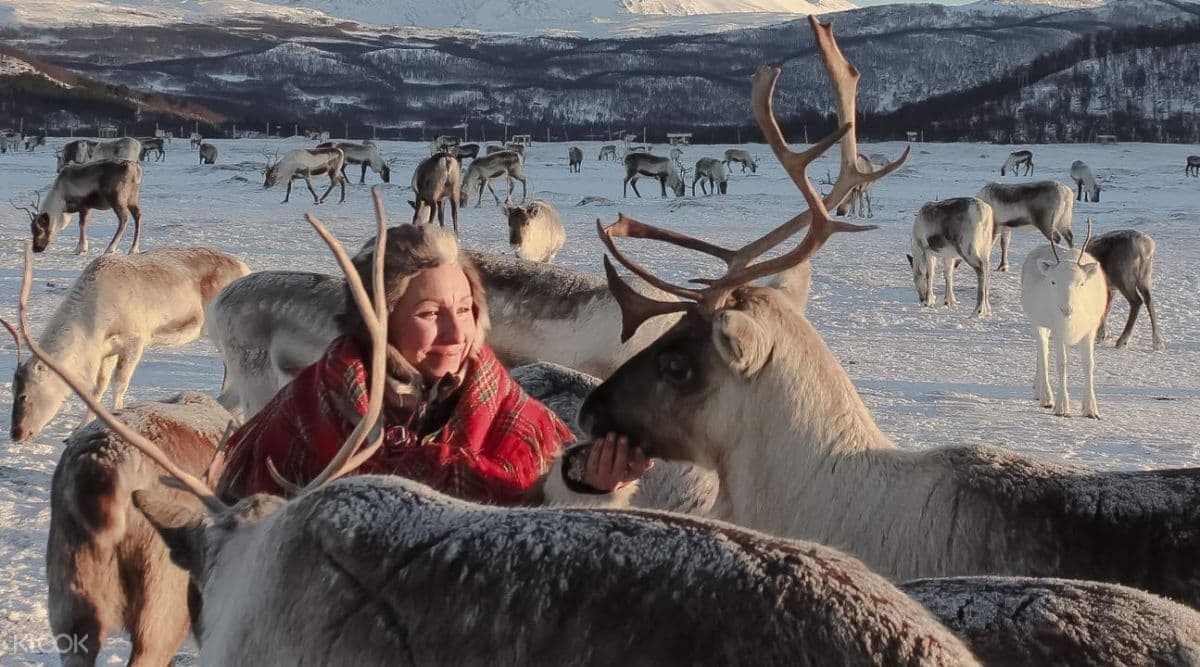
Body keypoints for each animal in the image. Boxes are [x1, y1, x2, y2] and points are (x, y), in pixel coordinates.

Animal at [8, 246, 249, 441]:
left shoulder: (134, 339)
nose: (16, 433)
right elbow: (98, 387)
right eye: (12, 390)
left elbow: (120, 384)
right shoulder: (107, 350)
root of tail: (244, 267)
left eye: (24, 394)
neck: (92, 326)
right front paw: (76, 430)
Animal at [15, 159, 144, 255]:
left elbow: (82, 224)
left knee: (124, 218)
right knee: (137, 215)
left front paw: (80, 249)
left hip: (116, 198)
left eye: (40, 230)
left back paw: (110, 248)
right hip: (133, 198)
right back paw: (133, 249)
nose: (35, 249)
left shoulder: (83, 205)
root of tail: (135, 169)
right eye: (32, 230)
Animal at [1021, 222, 1107, 418]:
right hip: (1037, 322)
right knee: (1043, 353)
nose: (1066, 309)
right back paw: (1046, 397)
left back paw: (1037, 390)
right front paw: (1062, 407)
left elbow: (1089, 364)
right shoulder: (1058, 330)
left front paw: (1091, 409)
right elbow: (1062, 364)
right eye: (1053, 282)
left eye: (1082, 283)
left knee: (1041, 353)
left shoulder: (1090, 331)